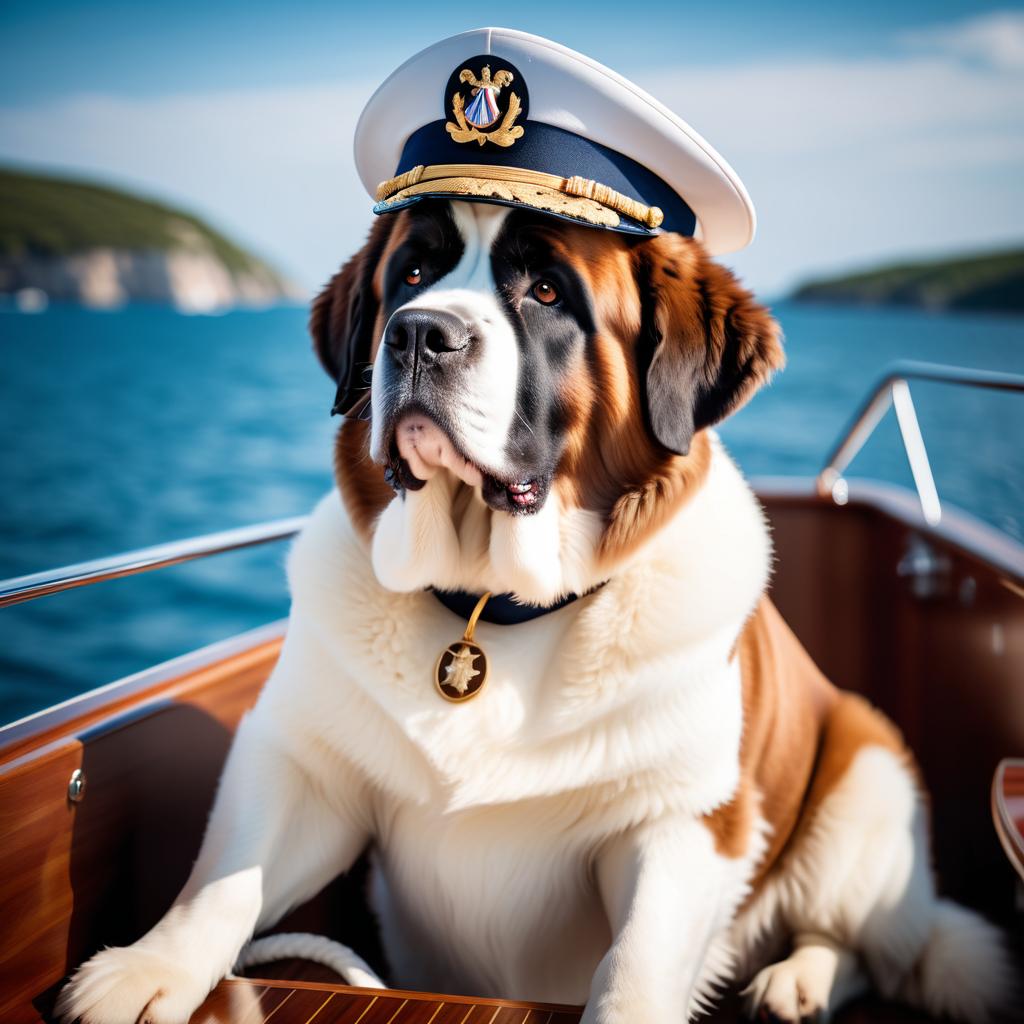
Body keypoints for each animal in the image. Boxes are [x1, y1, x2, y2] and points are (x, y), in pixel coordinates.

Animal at [59, 199, 1011, 1024]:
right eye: (411, 274)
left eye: (548, 292)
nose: (419, 333)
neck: (492, 608)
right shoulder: (304, 765)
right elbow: (223, 878)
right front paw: (148, 969)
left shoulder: (686, 822)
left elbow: (638, 962)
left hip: (866, 770)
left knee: (871, 943)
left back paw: (797, 981)